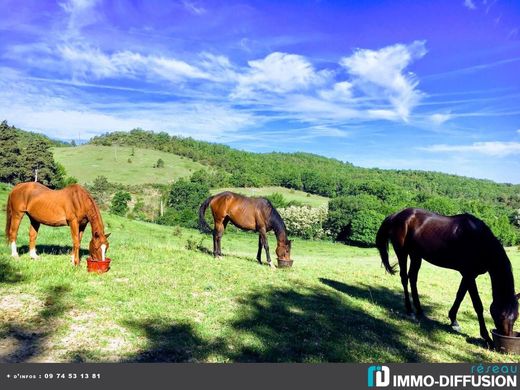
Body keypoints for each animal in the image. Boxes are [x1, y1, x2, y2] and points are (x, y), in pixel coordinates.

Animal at [376, 209, 516, 346]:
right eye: (502, 316)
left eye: (516, 316)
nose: (506, 336)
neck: (479, 241)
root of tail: (396, 215)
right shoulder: (469, 274)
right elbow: (477, 305)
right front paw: (486, 336)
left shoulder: (469, 275)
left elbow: (460, 295)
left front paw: (454, 321)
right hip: (402, 253)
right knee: (404, 278)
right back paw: (410, 311)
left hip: (416, 255)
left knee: (413, 278)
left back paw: (420, 311)